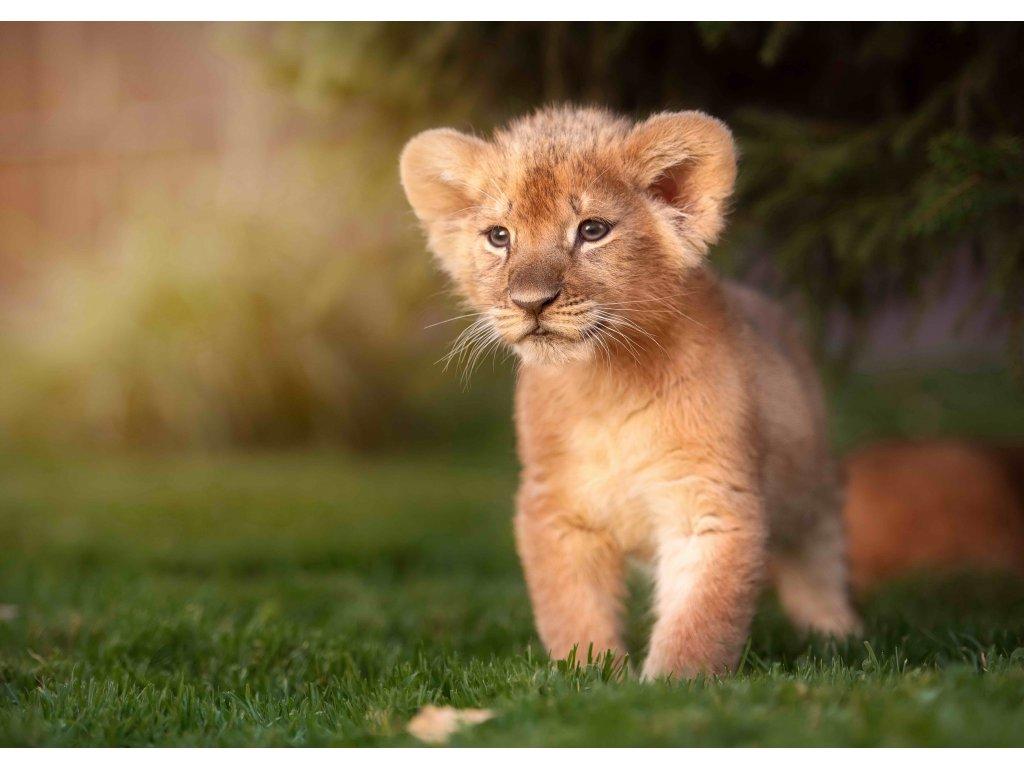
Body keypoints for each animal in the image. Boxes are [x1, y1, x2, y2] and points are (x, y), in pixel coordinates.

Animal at [400, 105, 860, 679]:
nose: (531, 301)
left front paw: (669, 688)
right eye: (499, 236)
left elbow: (698, 625)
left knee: (818, 557)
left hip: (812, 483)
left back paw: (837, 636)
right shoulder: (555, 508)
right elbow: (573, 612)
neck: (605, 386)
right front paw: (592, 679)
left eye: (592, 230)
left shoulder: (710, 504)